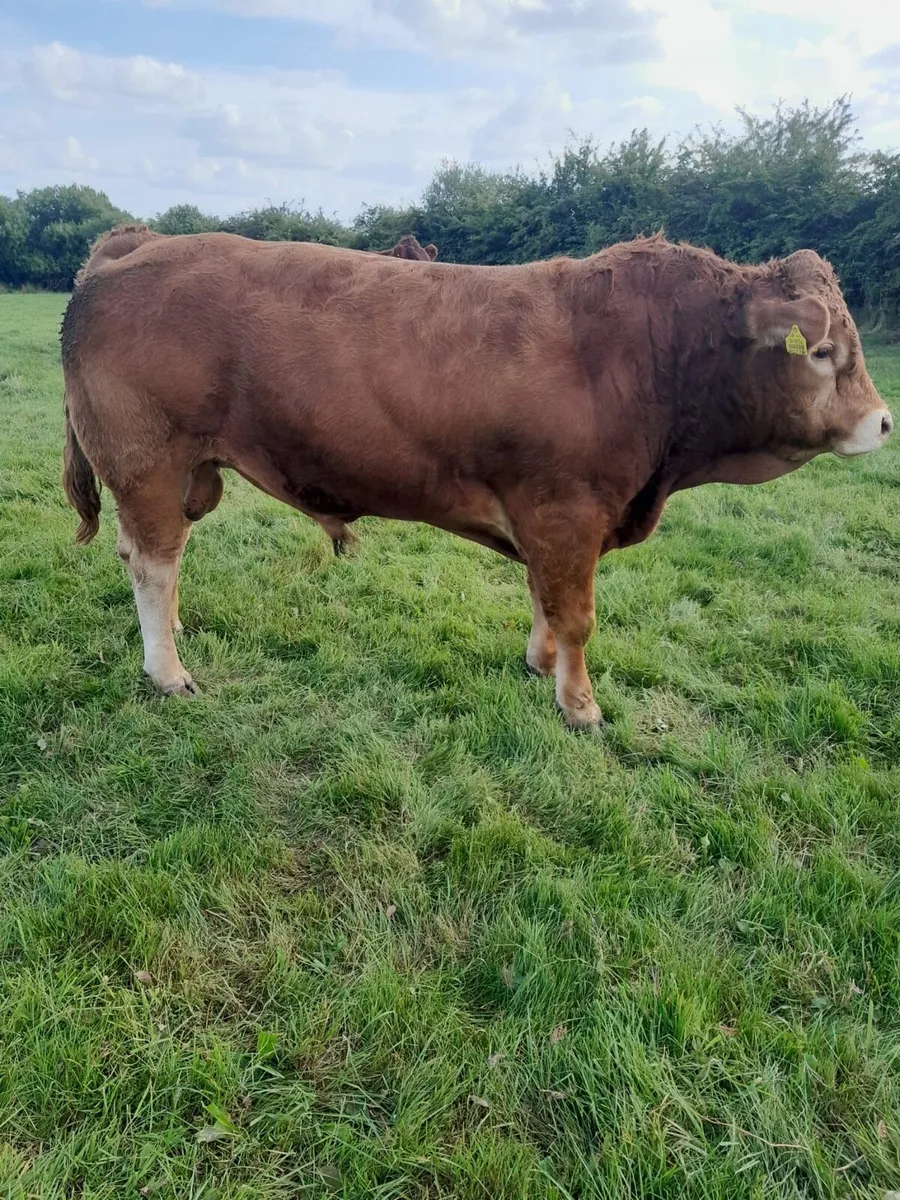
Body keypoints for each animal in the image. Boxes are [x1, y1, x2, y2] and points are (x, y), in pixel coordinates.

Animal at [61, 232, 892, 729]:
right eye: (822, 352)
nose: (884, 422)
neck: (649, 358)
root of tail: (137, 243)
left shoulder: (551, 520)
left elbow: (546, 601)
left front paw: (541, 665)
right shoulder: (568, 512)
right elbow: (576, 614)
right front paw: (580, 704)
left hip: (188, 472)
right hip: (148, 464)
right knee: (152, 563)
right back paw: (167, 669)